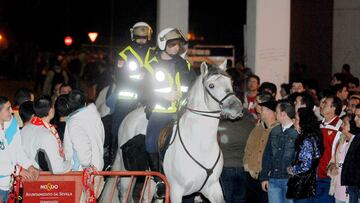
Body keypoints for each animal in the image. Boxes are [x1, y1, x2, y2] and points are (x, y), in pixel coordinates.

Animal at [100, 60, 243, 203]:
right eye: (211, 85)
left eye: (230, 82)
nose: (236, 106)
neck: (200, 145)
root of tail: (129, 117)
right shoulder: (176, 191)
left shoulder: (213, 189)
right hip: (128, 173)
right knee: (124, 193)